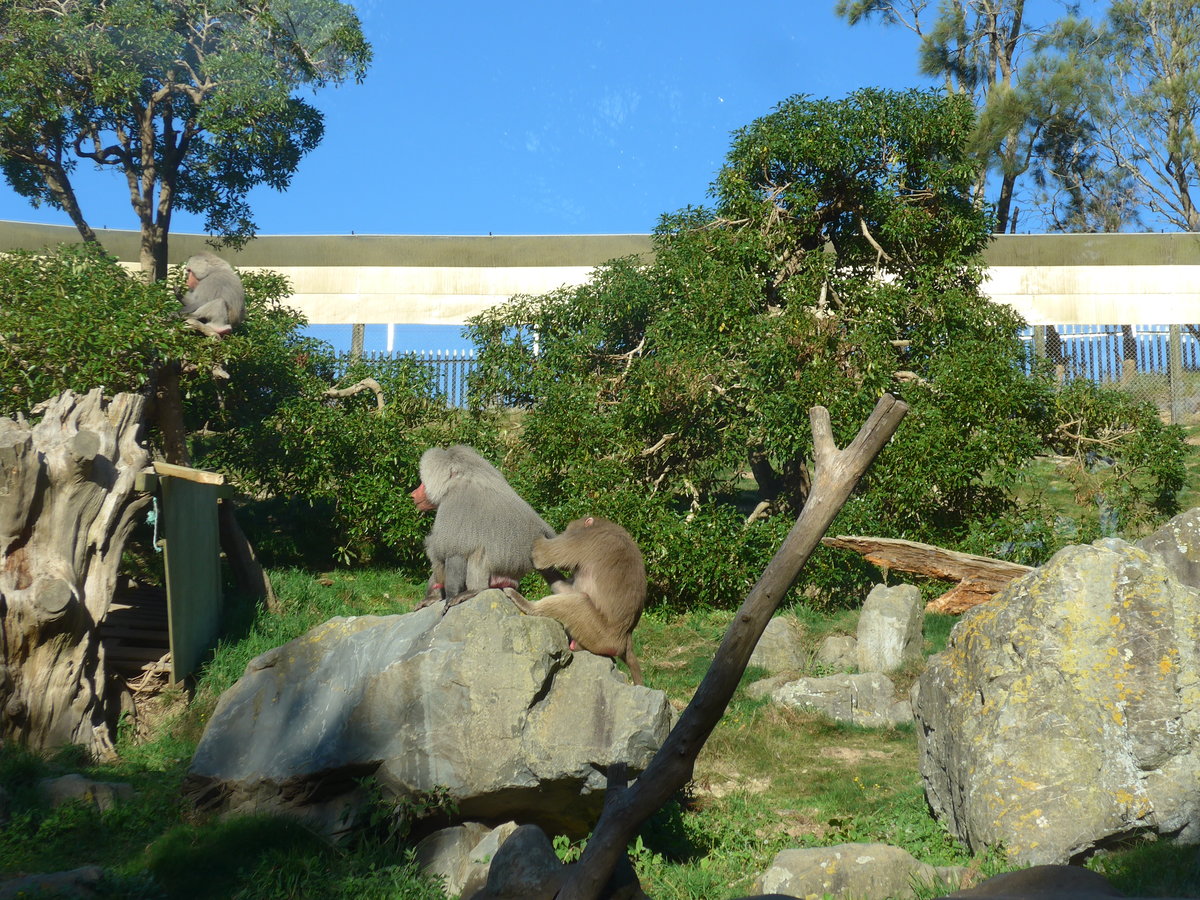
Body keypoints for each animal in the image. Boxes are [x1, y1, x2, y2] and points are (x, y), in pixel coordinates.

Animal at [410, 445, 563, 609]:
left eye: (423, 483)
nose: (413, 494)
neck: (460, 481)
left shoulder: (454, 505)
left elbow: (454, 550)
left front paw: (449, 598)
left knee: (478, 552)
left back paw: (474, 590)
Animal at [504, 516, 646, 685]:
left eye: (567, 529)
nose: (563, 532)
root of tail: (625, 638)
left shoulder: (582, 540)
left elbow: (541, 555)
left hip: (598, 634)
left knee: (580, 601)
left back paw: (527, 606)